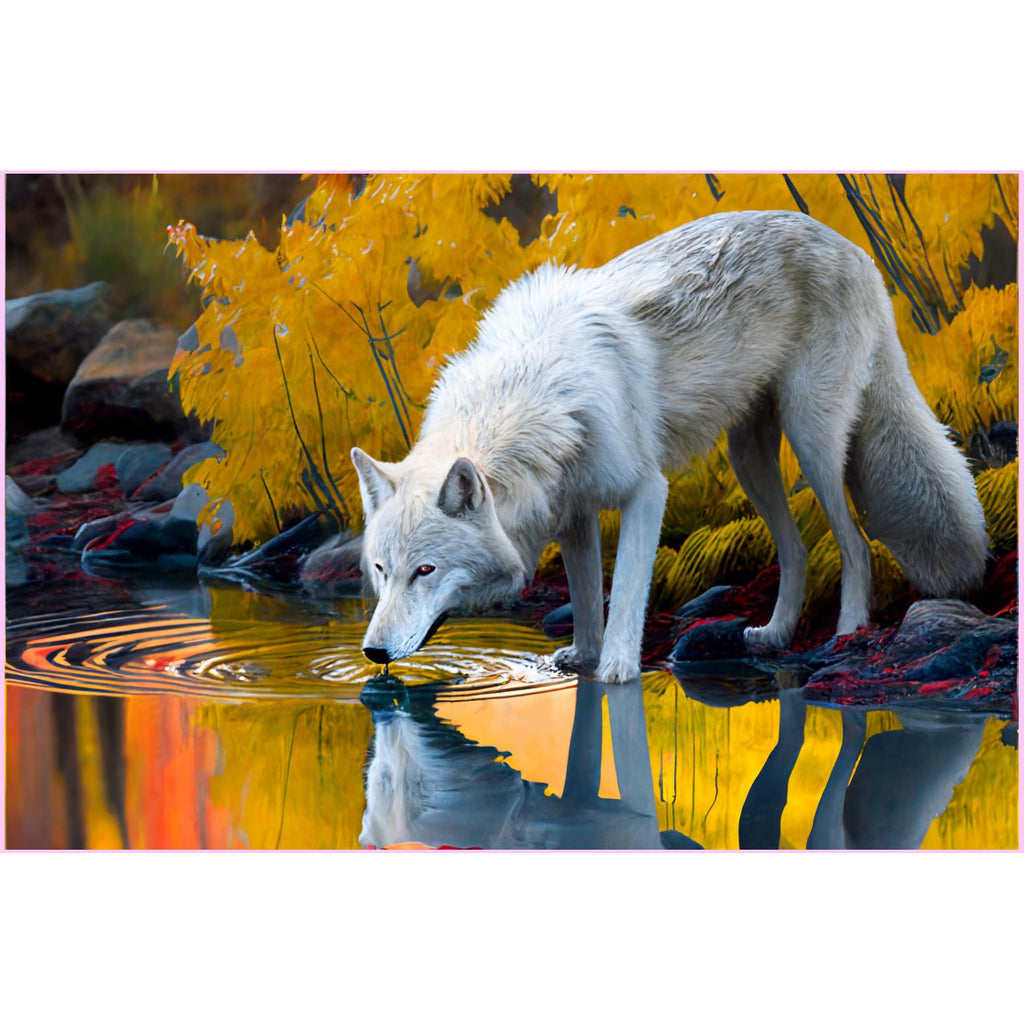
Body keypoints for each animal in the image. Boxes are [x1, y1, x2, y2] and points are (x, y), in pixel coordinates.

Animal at [351, 209, 988, 684]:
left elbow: (628, 591)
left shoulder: (644, 492)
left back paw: (847, 633)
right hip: (748, 458)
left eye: (426, 570)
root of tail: (853, 248)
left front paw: (614, 671)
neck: (536, 397)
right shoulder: (574, 509)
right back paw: (775, 634)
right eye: (382, 569)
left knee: (855, 545)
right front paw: (582, 658)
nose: (374, 655)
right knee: (798, 551)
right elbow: (588, 596)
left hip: (812, 440)